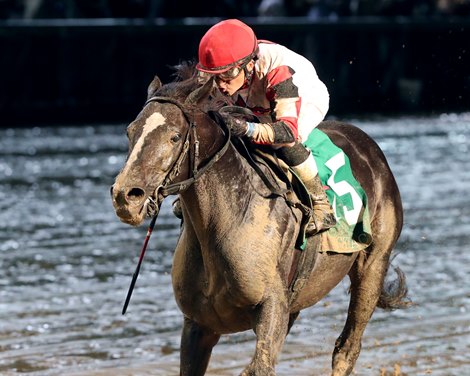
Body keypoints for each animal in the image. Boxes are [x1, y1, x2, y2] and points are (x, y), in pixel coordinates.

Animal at [109, 66, 408, 374]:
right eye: (130, 131)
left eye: (175, 136)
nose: (125, 196)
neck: (223, 224)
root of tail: (369, 147)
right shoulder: (198, 325)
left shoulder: (273, 309)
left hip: (372, 266)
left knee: (347, 348)